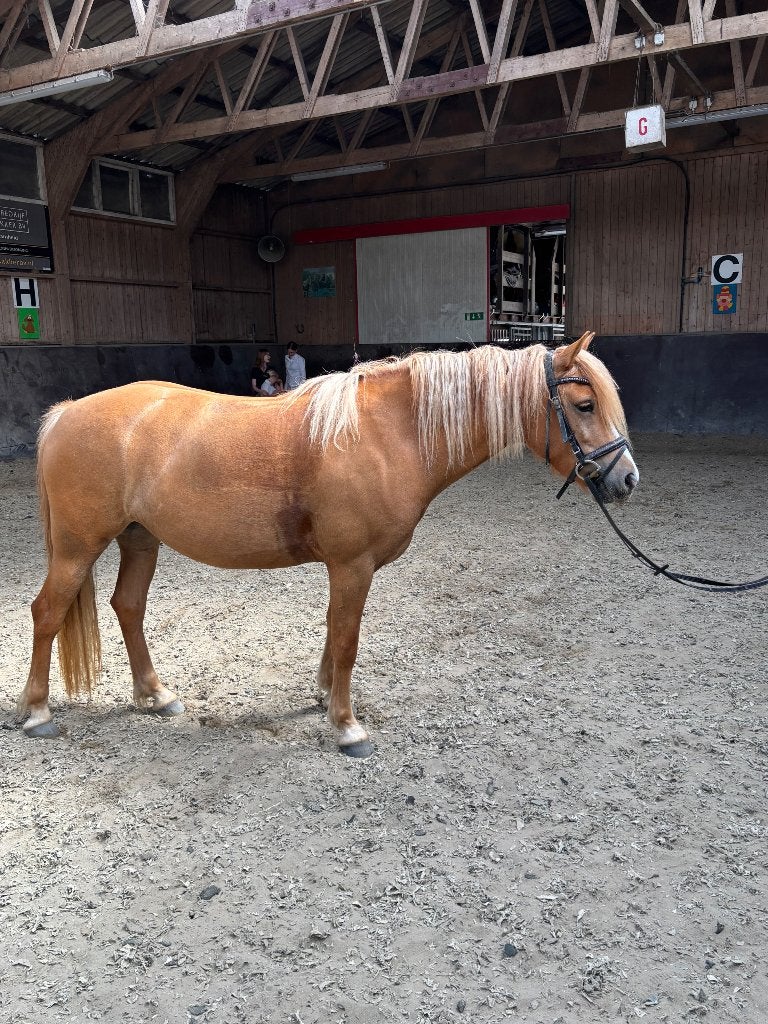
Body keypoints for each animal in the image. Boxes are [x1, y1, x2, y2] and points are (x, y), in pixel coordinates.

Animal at [17, 331, 638, 756]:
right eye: (584, 405)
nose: (627, 480)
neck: (389, 434)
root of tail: (67, 412)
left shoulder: (349, 569)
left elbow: (332, 632)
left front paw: (322, 697)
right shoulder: (352, 564)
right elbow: (346, 640)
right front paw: (346, 726)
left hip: (139, 540)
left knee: (128, 607)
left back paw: (156, 694)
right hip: (77, 546)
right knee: (47, 612)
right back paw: (38, 712)